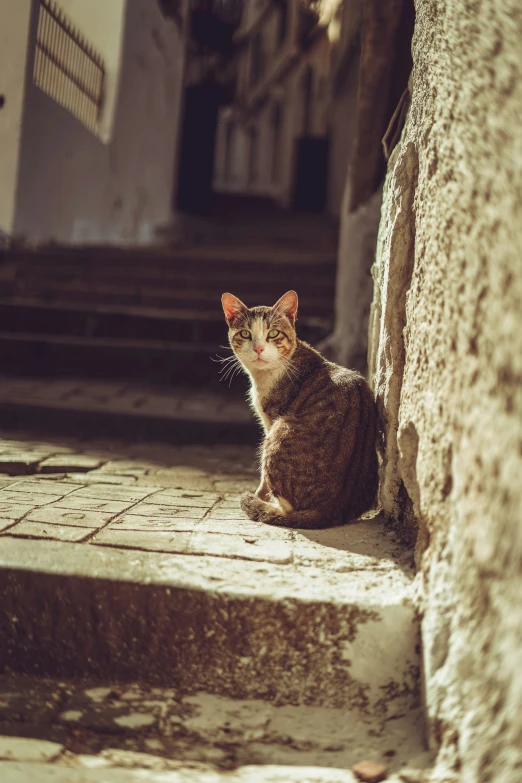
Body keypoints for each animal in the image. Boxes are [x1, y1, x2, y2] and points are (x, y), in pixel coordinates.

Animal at [219, 290, 378, 528]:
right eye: (245, 334)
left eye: (273, 333)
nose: (258, 348)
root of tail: (332, 508)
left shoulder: (270, 421)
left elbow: (263, 479)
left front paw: (258, 496)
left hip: (279, 432)